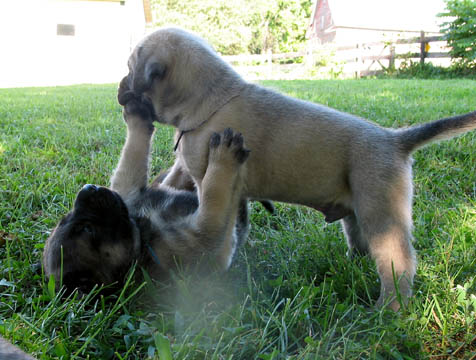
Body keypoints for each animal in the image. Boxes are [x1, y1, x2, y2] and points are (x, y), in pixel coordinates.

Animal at [42, 98, 249, 296]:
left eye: (66, 216)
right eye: (87, 229)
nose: (89, 188)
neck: (141, 234)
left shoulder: (128, 191)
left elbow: (132, 153)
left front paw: (136, 115)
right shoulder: (209, 238)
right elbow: (215, 193)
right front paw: (224, 157)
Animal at [118, 28, 476, 310]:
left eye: (130, 67)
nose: (121, 85)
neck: (208, 100)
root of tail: (395, 139)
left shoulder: (204, 178)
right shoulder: (187, 169)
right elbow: (173, 179)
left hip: (382, 215)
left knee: (398, 264)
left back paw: (389, 309)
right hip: (357, 215)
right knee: (361, 245)